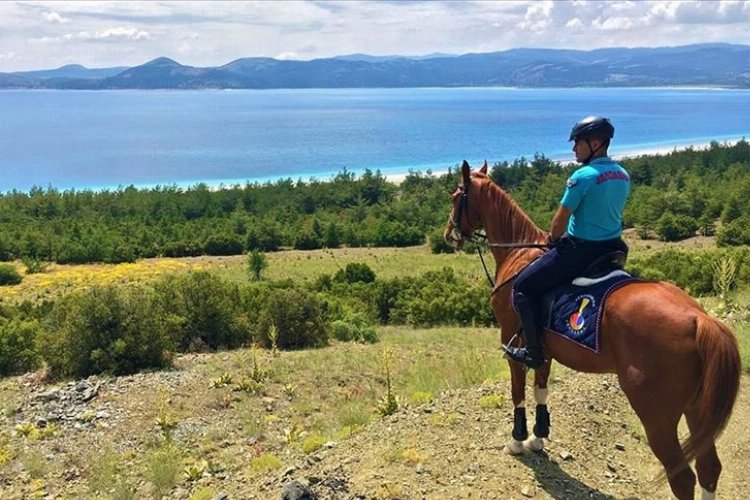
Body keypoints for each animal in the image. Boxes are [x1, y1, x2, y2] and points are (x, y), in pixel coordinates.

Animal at [444, 161, 744, 500]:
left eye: (455, 196)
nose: (448, 235)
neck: (520, 255)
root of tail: (699, 319)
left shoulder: (514, 340)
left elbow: (518, 391)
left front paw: (518, 440)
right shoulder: (542, 351)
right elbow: (540, 389)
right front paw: (538, 437)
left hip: (658, 416)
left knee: (683, 477)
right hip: (697, 409)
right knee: (709, 468)